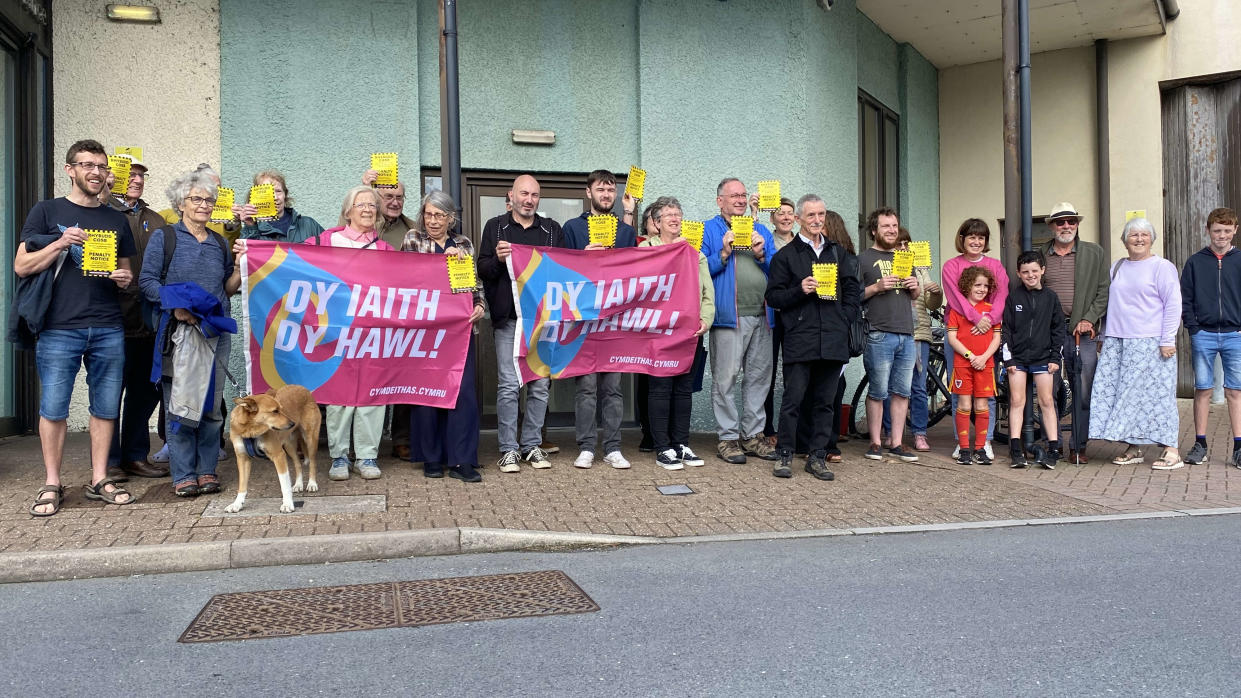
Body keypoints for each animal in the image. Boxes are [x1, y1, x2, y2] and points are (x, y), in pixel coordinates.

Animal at [224, 380, 320, 511]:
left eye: (281, 409)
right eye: (275, 411)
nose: (292, 423)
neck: (250, 431)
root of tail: (302, 388)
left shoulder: (278, 455)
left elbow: (284, 484)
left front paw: (287, 504)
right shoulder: (242, 459)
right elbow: (242, 485)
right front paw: (237, 504)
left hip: (310, 439)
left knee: (313, 462)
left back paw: (312, 483)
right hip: (289, 446)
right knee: (297, 464)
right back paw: (299, 484)